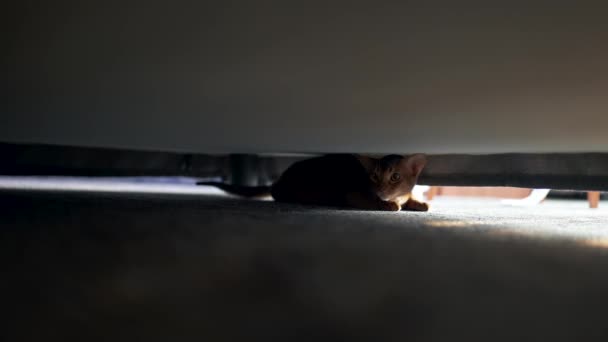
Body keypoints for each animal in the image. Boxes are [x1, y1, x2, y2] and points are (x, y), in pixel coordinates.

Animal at [198, 153, 428, 211]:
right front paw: (390, 204)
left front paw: (419, 202)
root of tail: (278, 180)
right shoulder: (352, 193)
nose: (380, 189)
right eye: (373, 177)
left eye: (395, 176)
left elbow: (410, 197)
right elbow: (379, 201)